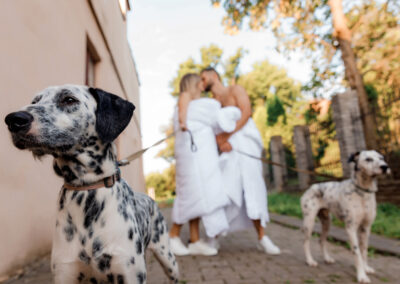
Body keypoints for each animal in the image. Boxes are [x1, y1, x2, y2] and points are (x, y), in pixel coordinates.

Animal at [4, 86, 179, 284]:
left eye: (69, 99)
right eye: (35, 101)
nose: (14, 120)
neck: (86, 190)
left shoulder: (128, 273)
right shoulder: (65, 272)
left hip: (168, 259)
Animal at [302, 150, 390, 282]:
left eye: (381, 158)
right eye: (368, 159)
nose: (385, 167)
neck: (363, 192)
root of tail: (311, 187)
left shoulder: (366, 228)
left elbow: (364, 250)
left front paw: (366, 268)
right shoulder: (351, 228)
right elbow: (357, 252)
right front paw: (361, 276)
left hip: (327, 222)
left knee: (321, 240)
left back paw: (327, 258)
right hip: (309, 222)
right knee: (306, 242)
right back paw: (310, 261)